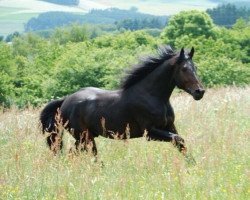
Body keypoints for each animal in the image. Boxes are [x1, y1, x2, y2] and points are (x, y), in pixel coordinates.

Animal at [40, 46, 204, 157]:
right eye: (184, 69)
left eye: (195, 67)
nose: (199, 92)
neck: (152, 96)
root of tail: (65, 100)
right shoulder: (150, 132)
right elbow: (178, 139)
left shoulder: (170, 126)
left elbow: (181, 143)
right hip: (84, 137)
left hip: (86, 137)